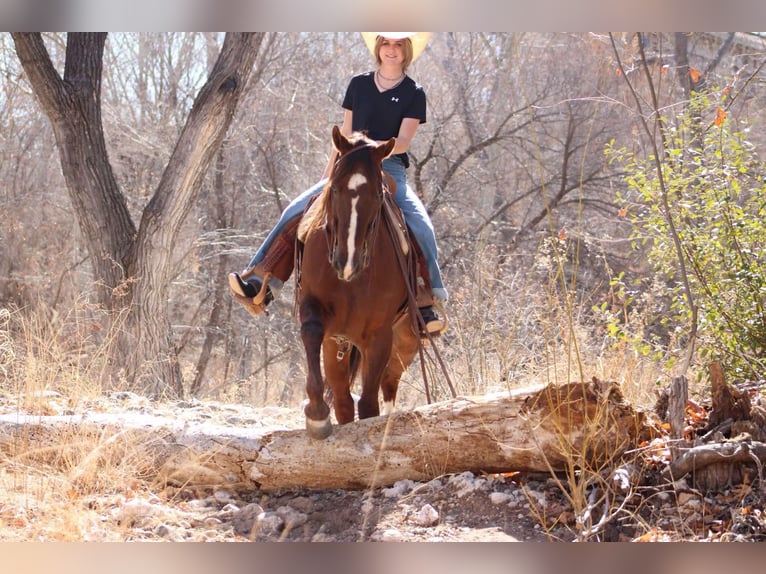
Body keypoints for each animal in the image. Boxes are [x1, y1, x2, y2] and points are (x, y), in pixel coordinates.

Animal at [296, 125, 420, 440]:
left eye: (377, 195)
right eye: (335, 188)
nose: (346, 261)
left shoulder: (379, 336)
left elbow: (368, 405)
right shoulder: (318, 316)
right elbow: (311, 332)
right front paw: (317, 416)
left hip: (404, 345)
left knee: (388, 387)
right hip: (337, 349)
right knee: (342, 400)